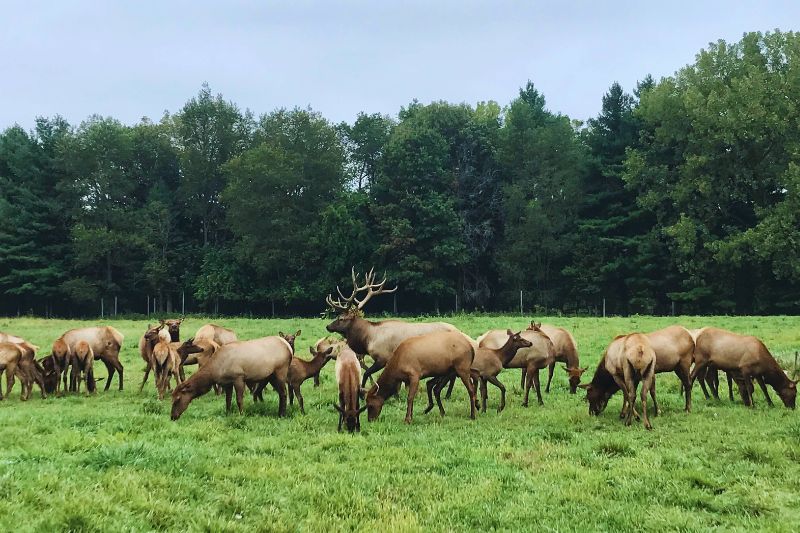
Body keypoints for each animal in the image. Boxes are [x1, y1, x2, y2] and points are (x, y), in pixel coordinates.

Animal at [325, 267, 459, 387]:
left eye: (341, 318)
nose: (327, 326)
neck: (368, 339)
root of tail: (459, 331)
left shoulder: (383, 357)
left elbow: (367, 373)